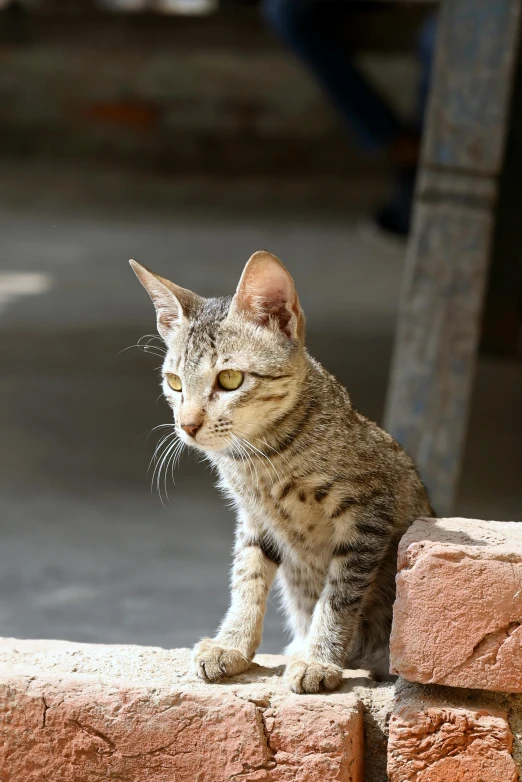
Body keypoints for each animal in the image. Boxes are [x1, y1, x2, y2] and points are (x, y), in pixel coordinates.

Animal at [130, 250, 430, 692]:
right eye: (174, 382)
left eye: (230, 378)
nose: (186, 425)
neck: (259, 458)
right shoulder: (254, 519)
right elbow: (246, 578)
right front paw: (232, 644)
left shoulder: (369, 514)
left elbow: (338, 596)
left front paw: (319, 659)